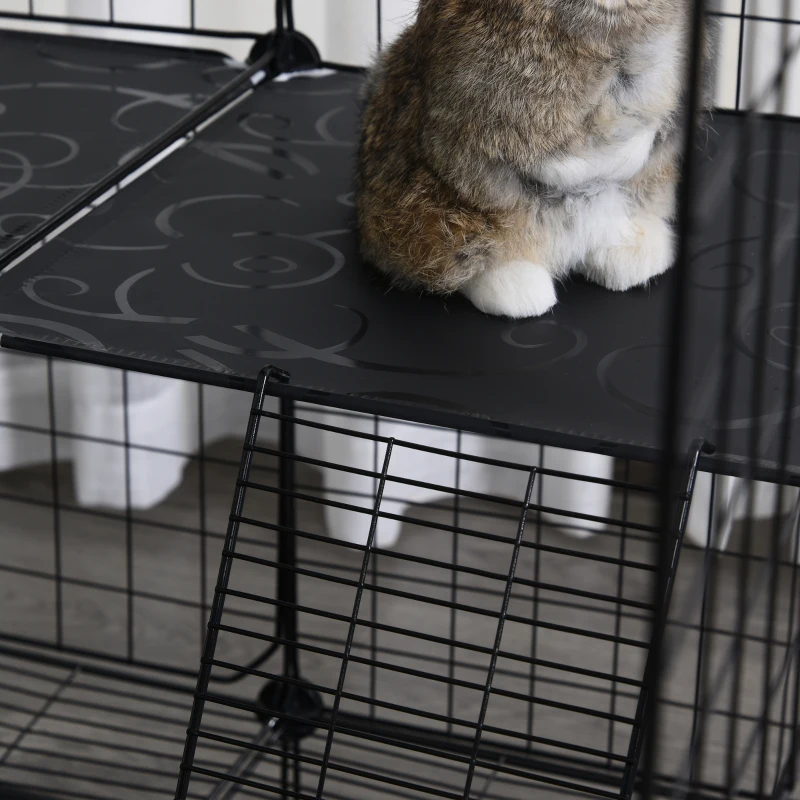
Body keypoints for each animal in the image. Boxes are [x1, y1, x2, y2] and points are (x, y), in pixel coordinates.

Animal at [357, 0, 715, 319]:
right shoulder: (494, 113)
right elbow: (561, 157)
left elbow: (648, 129)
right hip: (441, 221)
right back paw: (520, 292)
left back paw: (634, 256)